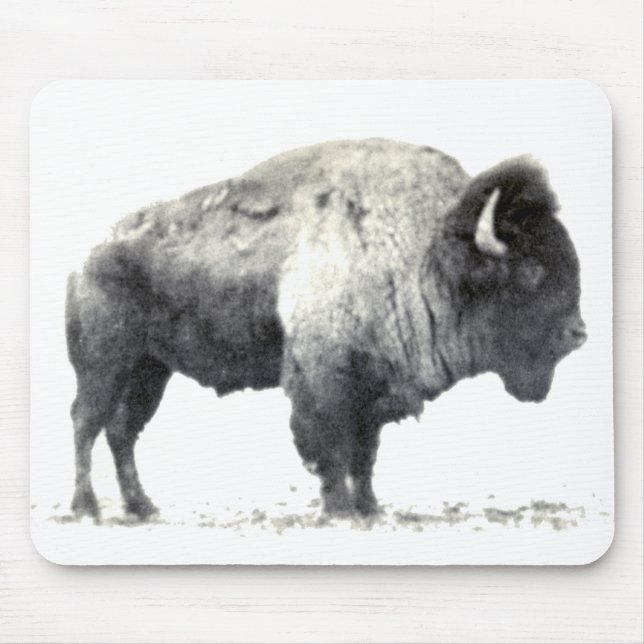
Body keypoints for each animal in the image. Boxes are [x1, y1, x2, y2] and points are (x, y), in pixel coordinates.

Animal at [66, 138, 586, 520]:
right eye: (531, 270)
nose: (578, 333)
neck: (427, 254)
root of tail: (89, 257)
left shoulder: (373, 391)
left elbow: (365, 454)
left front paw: (370, 508)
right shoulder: (324, 382)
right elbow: (331, 448)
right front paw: (340, 510)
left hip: (149, 370)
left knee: (122, 431)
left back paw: (142, 507)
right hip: (105, 365)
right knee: (86, 423)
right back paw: (87, 507)